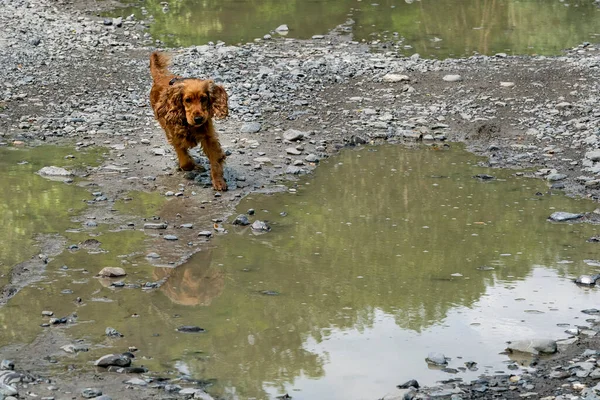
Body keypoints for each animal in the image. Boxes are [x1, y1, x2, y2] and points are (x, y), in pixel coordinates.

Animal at [150, 50, 230, 191]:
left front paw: (219, 181)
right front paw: (193, 165)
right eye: (187, 100)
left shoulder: (208, 136)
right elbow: (185, 162)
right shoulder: (175, 136)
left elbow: (215, 159)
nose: (198, 119)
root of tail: (159, 78)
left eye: (204, 98)